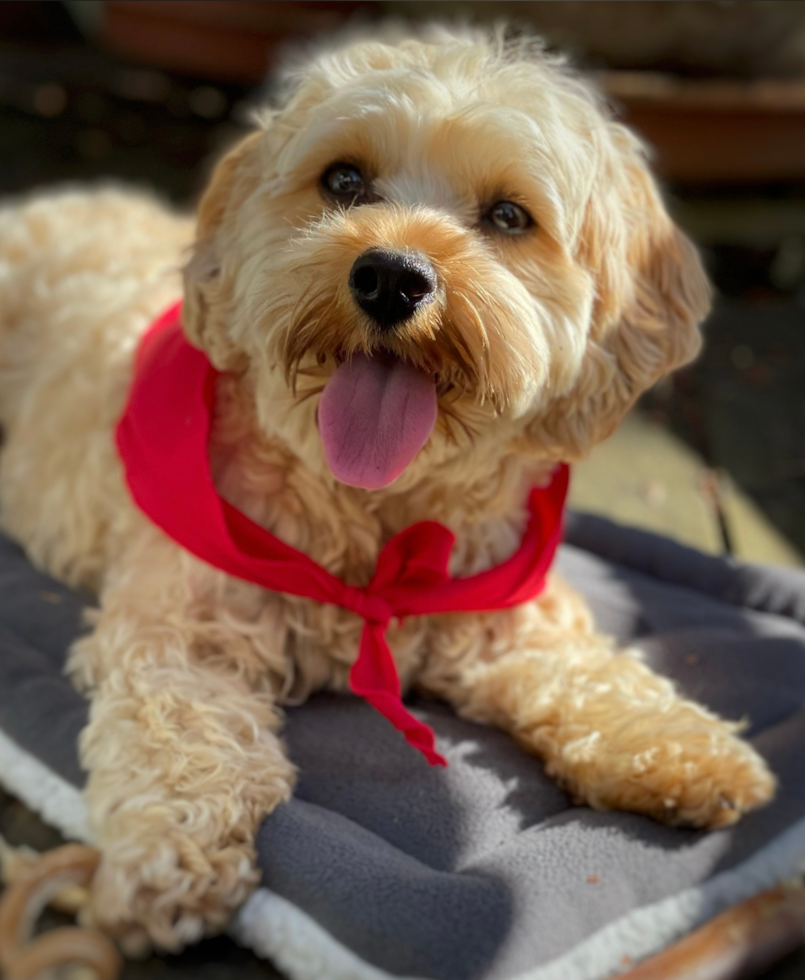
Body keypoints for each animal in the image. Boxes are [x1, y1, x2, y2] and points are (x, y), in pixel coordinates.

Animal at [0, 28, 776, 948]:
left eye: (508, 215)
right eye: (343, 180)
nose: (390, 277)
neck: (376, 514)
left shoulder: (510, 618)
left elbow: (593, 674)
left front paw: (682, 744)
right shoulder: (175, 633)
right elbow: (178, 735)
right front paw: (166, 860)